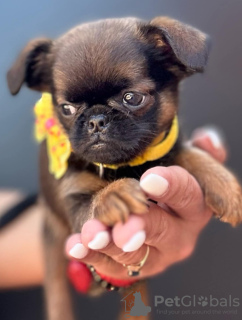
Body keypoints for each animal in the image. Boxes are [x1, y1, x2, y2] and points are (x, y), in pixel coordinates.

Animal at [6, 16, 242, 320]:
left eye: (132, 98)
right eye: (66, 109)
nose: (96, 120)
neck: (124, 166)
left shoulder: (168, 147)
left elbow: (191, 153)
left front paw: (225, 185)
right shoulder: (75, 205)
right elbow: (93, 201)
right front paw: (115, 194)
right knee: (58, 295)